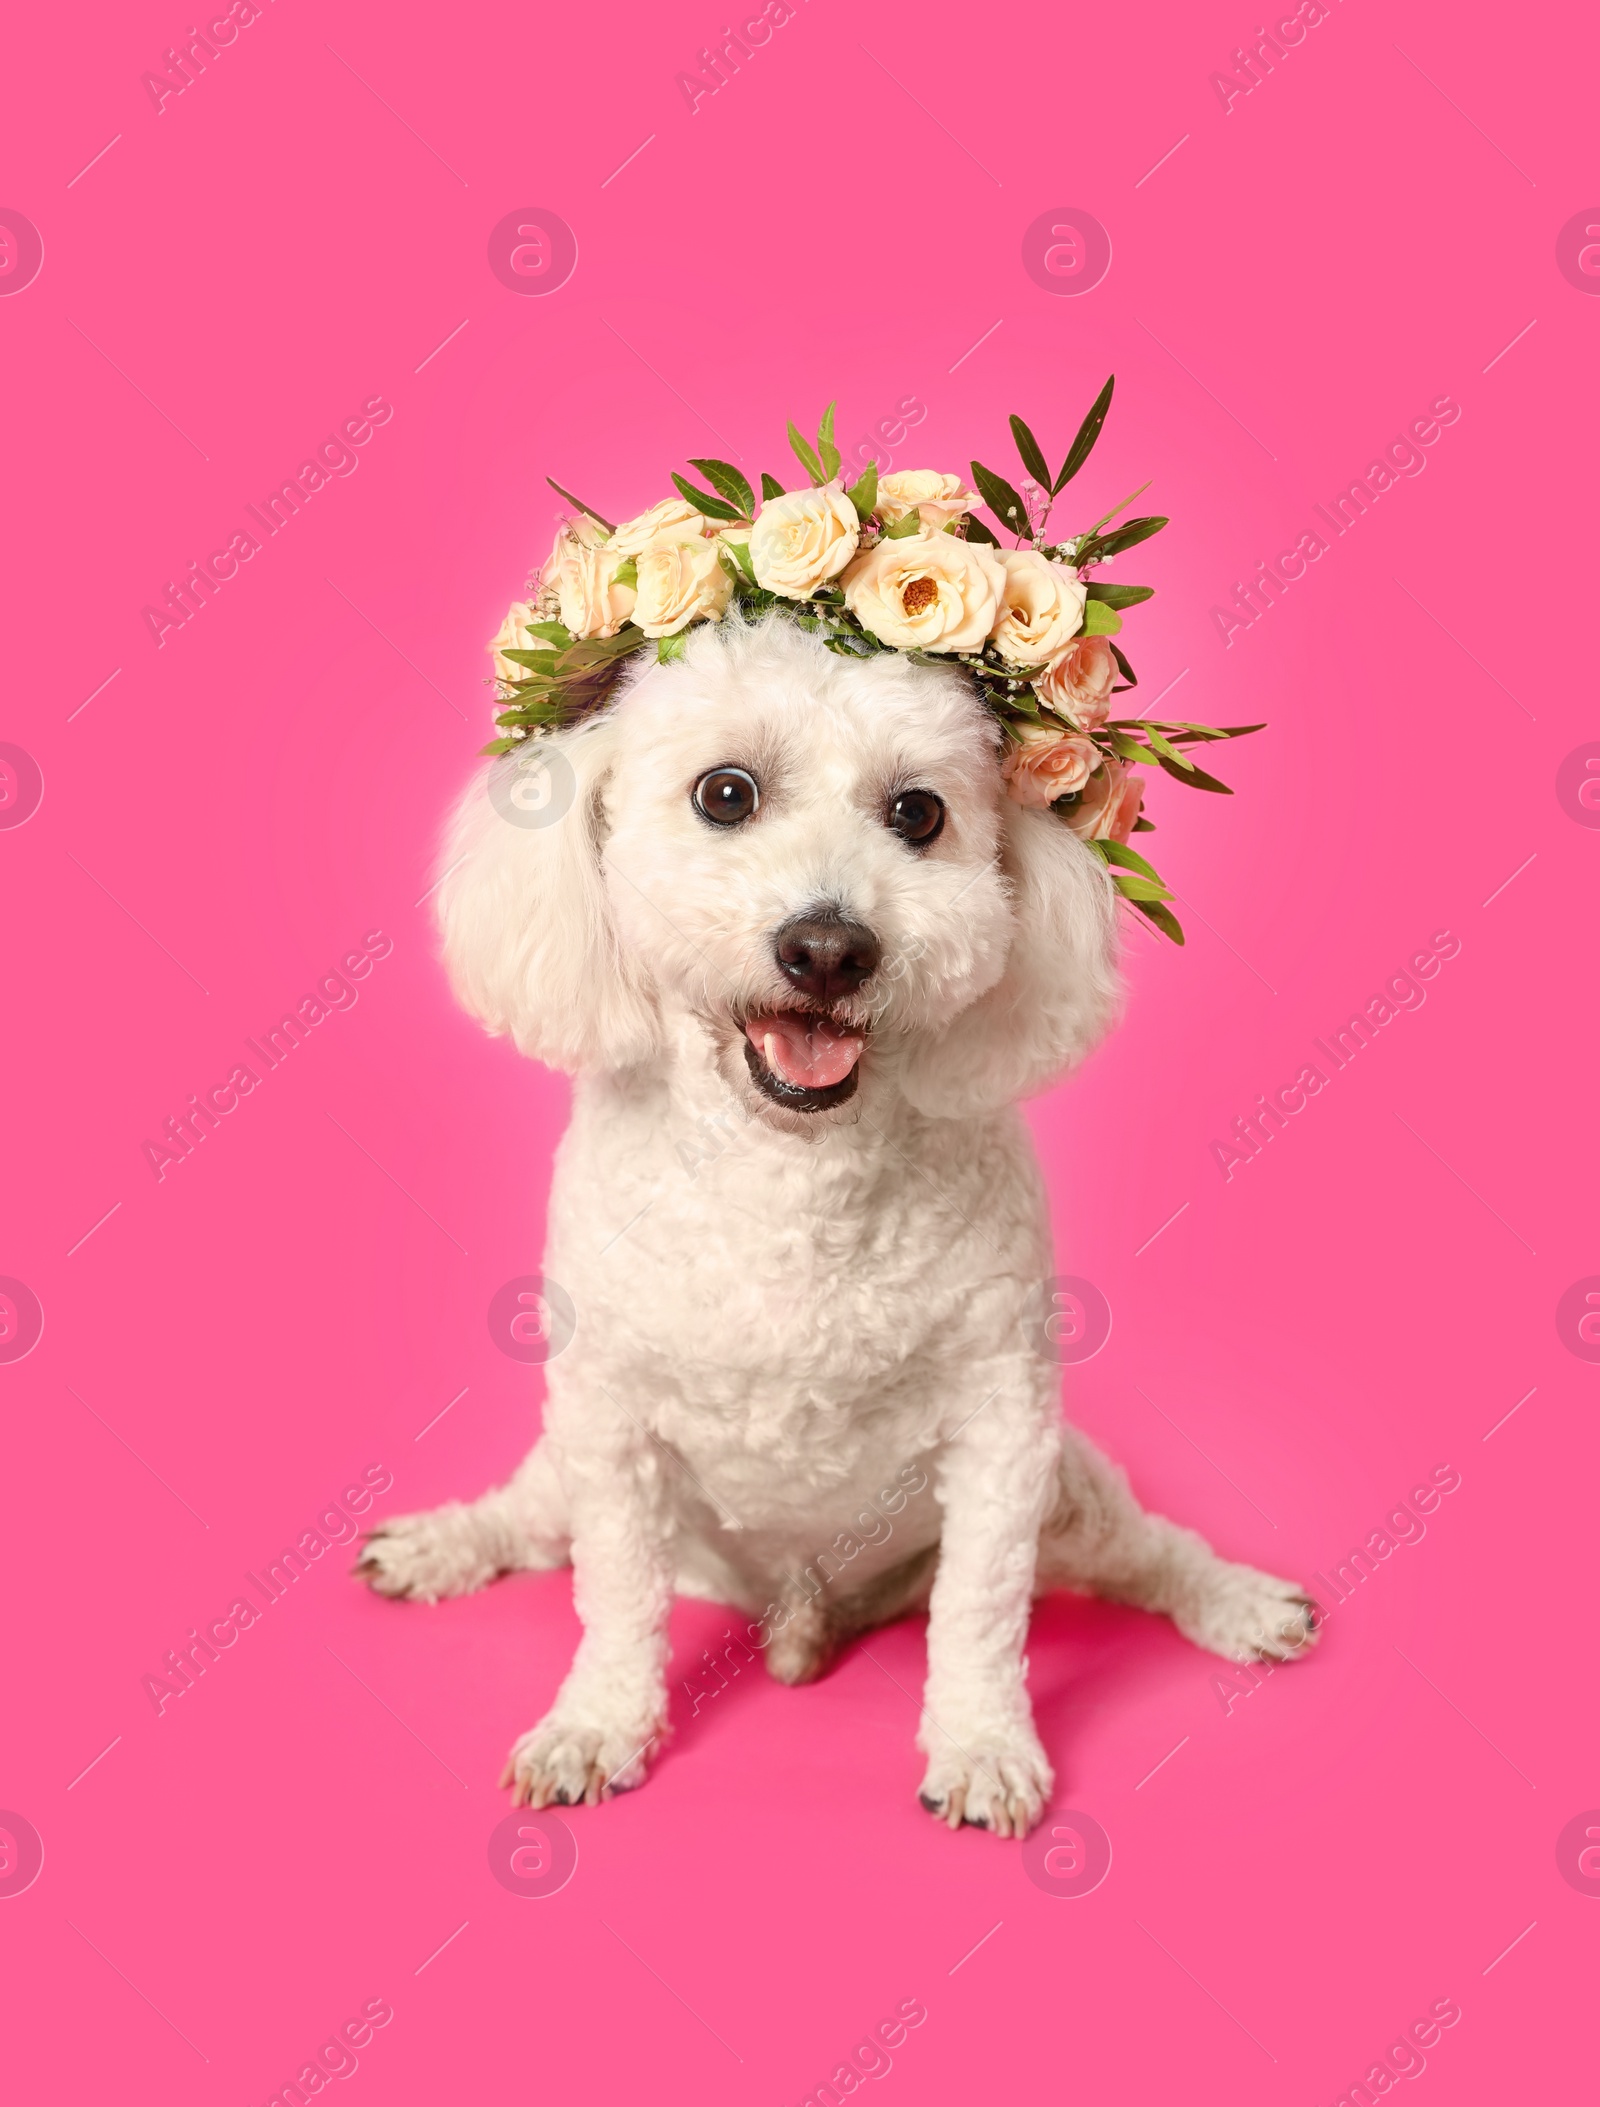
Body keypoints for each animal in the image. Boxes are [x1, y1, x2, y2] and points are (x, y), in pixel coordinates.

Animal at [360, 615, 1315, 1837]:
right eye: (725, 793)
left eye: (918, 813)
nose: (829, 949)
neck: (792, 1172)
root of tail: (800, 1610)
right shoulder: (609, 1423)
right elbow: (614, 1597)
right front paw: (597, 1724)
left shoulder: (1006, 1428)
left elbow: (980, 1610)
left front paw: (982, 1744)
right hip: (573, 1460)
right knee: (534, 1521)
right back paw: (443, 1543)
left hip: (1072, 1489)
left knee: (1147, 1552)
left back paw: (1234, 1600)